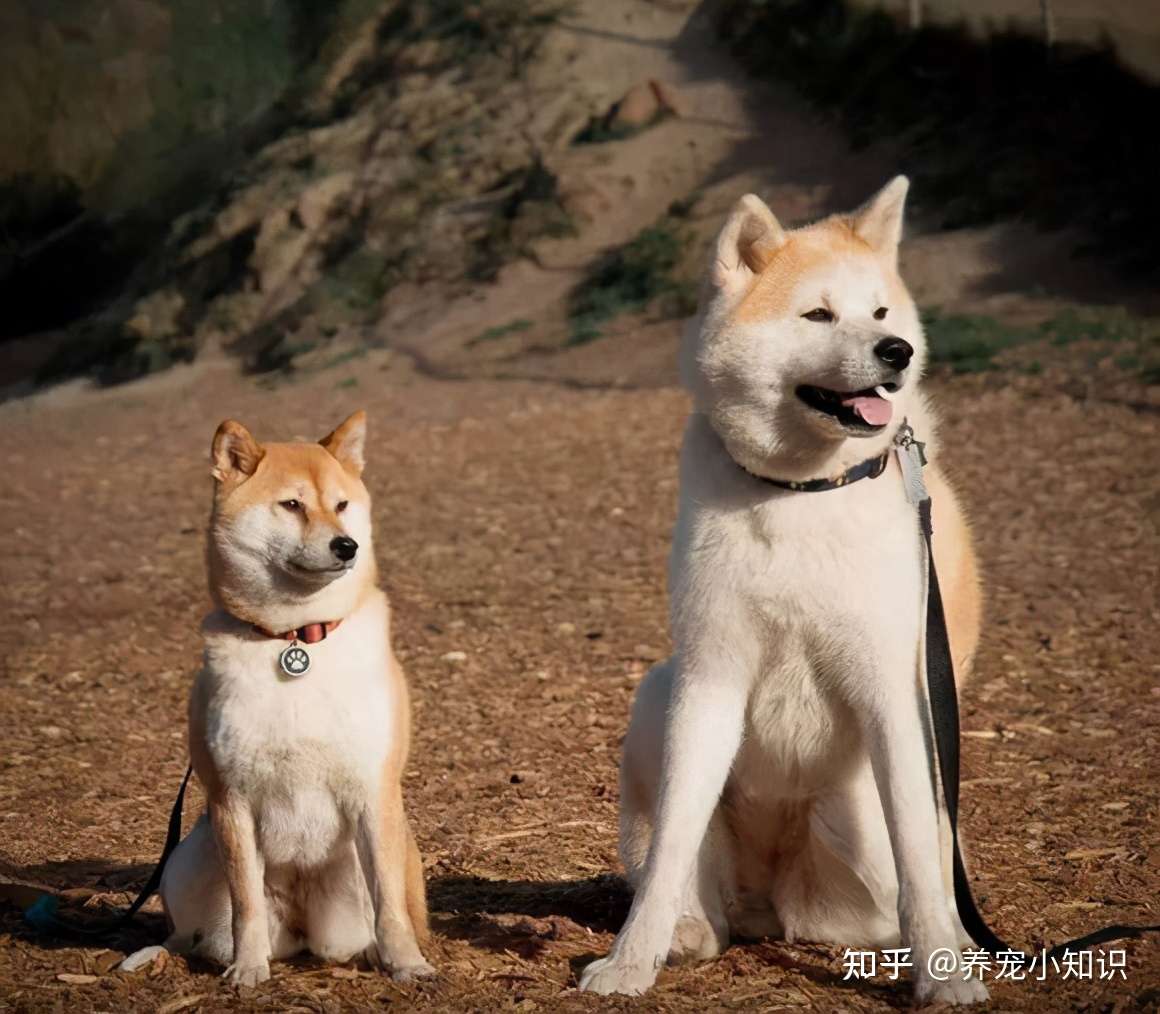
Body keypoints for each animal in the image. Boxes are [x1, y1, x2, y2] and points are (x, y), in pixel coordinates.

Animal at [149, 408, 431, 979]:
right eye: (292, 504)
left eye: (341, 505)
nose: (347, 545)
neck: (297, 639)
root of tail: (303, 931)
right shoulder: (231, 799)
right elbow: (246, 905)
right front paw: (247, 970)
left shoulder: (373, 790)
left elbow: (390, 906)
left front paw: (408, 964)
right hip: (185, 859)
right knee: (187, 934)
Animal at [580, 176, 988, 1002]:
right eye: (818, 315)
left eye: (881, 313)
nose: (895, 353)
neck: (803, 492)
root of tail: (772, 896)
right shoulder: (710, 677)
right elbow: (670, 847)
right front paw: (630, 962)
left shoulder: (895, 693)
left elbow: (921, 858)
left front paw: (944, 970)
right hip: (658, 695)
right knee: (695, 890)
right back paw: (685, 935)